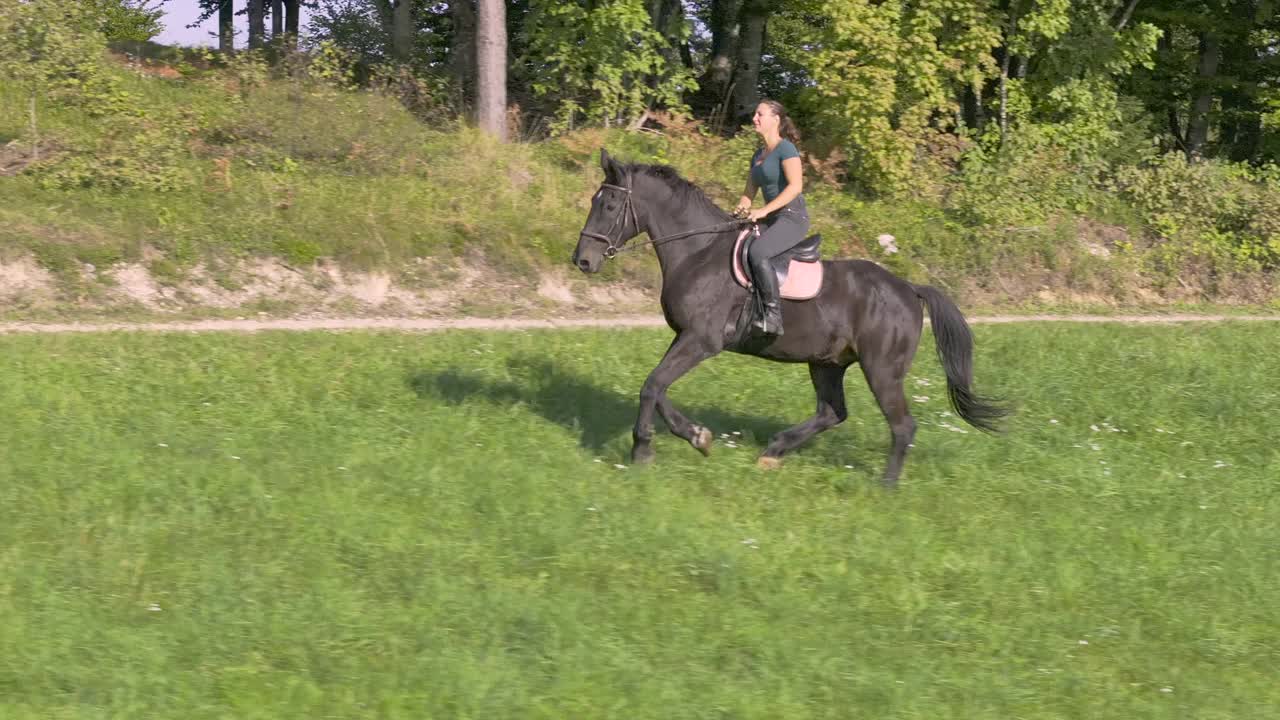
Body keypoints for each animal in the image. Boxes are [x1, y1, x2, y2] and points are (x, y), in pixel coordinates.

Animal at [576, 147, 1003, 484]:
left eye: (608, 206)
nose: (582, 261)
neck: (698, 252)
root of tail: (909, 290)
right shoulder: (685, 337)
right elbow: (659, 387)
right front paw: (697, 436)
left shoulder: (701, 340)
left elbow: (652, 385)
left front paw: (643, 450)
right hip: (827, 363)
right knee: (832, 412)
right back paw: (774, 452)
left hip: (882, 370)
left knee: (901, 426)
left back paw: (885, 488)